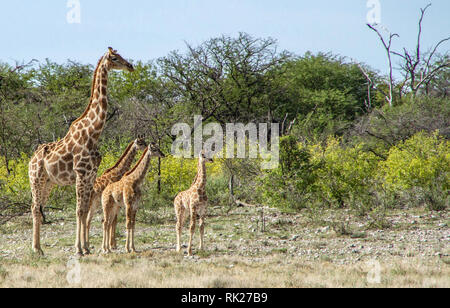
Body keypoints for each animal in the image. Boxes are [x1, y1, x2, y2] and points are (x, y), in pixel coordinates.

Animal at [27, 47, 134, 256]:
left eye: (122, 56)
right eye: (115, 58)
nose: (130, 66)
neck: (93, 133)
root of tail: (31, 160)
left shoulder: (91, 174)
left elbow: (84, 210)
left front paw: (86, 248)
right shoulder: (81, 173)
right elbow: (79, 210)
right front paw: (78, 248)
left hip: (48, 182)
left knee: (39, 205)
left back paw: (39, 247)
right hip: (36, 178)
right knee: (35, 207)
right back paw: (36, 249)